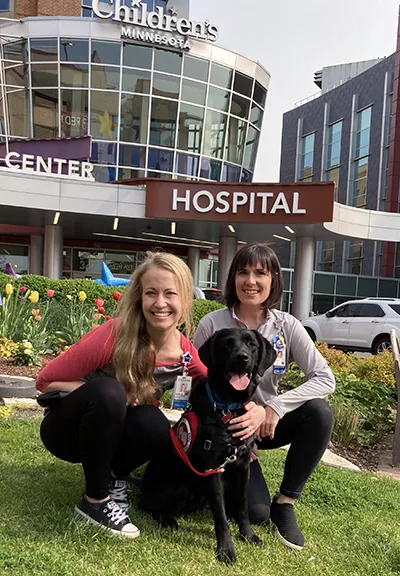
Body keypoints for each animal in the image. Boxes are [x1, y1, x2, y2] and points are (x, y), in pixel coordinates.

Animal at [141, 328, 278, 564]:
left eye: (252, 345)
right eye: (227, 344)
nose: (242, 357)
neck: (229, 408)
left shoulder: (242, 467)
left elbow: (242, 506)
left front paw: (248, 535)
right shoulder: (212, 470)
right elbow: (220, 516)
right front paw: (226, 549)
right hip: (180, 485)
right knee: (153, 508)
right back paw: (169, 520)